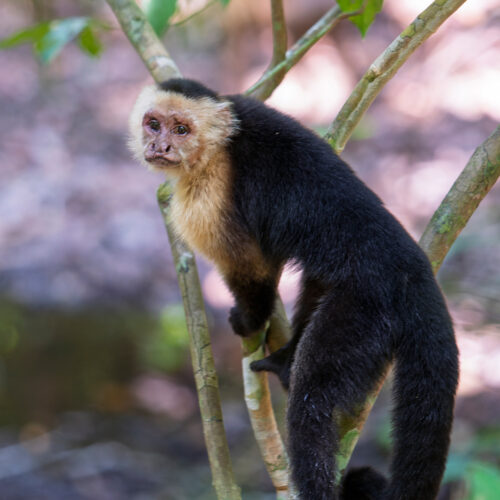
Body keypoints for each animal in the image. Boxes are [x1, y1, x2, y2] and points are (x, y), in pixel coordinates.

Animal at [129, 78, 459, 500]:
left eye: (181, 129)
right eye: (153, 123)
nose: (160, 146)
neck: (219, 146)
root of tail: (414, 272)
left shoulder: (210, 193)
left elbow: (250, 265)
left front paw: (249, 319)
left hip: (368, 308)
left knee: (311, 406)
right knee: (318, 280)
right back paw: (286, 360)